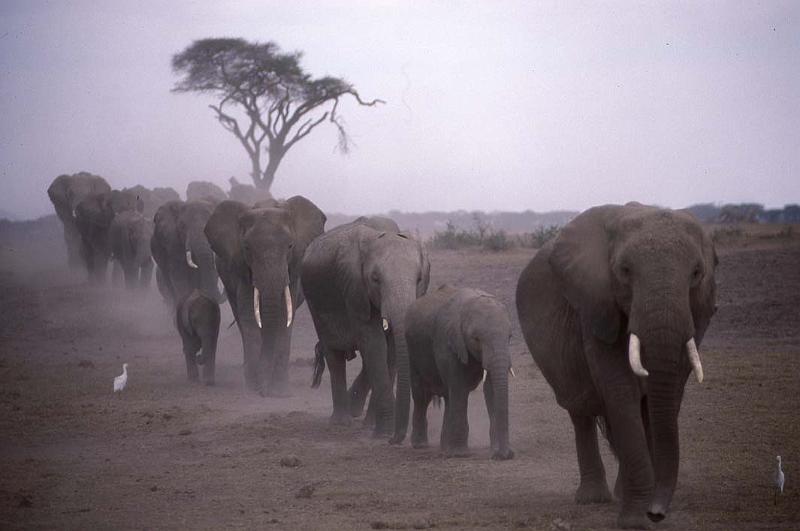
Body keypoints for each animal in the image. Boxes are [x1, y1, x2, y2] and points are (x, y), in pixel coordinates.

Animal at [205, 196, 326, 395]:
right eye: (246, 247)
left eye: (290, 246)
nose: (264, 391)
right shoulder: (242, 270)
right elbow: (250, 317)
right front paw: (255, 388)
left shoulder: (292, 271)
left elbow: (284, 318)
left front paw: (279, 392)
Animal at [302, 217, 430, 441]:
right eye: (375, 279)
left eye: (419, 280)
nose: (395, 439)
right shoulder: (354, 289)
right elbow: (374, 343)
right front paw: (383, 432)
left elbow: (390, 350)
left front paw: (376, 428)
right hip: (315, 304)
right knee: (334, 356)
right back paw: (341, 421)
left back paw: (360, 416)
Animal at [406, 285, 514, 460]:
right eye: (476, 338)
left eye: (510, 336)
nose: (506, 455)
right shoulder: (448, 343)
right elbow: (459, 387)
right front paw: (460, 454)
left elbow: (490, 389)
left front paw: (495, 451)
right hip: (411, 350)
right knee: (422, 396)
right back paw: (421, 445)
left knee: (448, 397)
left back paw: (445, 448)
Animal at [515, 203, 717, 529]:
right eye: (624, 271)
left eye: (697, 273)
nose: (657, 513)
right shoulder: (596, 303)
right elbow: (620, 390)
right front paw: (635, 521)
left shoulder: (696, 314)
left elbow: (669, 393)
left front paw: (641, 511)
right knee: (580, 411)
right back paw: (592, 498)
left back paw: (620, 492)